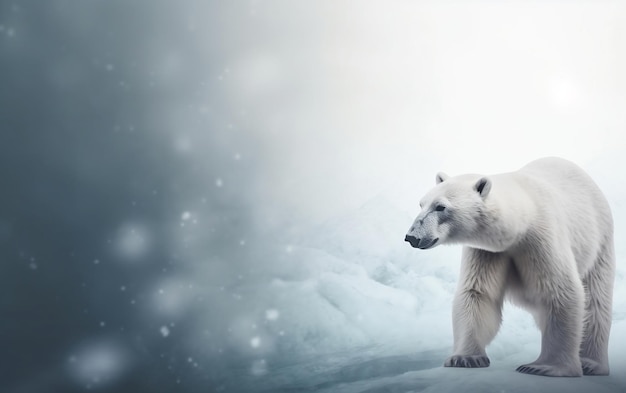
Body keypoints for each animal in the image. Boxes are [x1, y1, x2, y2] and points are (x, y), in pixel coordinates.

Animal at [402, 157, 612, 376]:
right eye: (421, 204)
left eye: (440, 207)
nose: (412, 237)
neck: (523, 217)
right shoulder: (488, 251)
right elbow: (478, 293)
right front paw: (465, 358)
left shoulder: (542, 238)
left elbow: (560, 291)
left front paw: (544, 366)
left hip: (599, 242)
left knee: (595, 301)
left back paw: (590, 363)